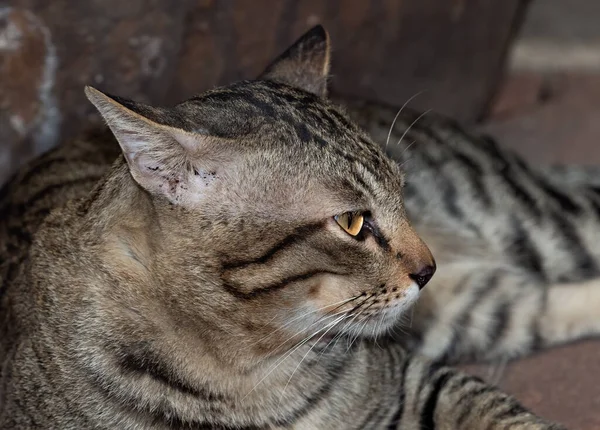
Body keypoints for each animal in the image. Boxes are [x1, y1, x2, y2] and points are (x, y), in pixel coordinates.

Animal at [1, 24, 584, 430]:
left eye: (402, 192)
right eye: (352, 222)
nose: (428, 270)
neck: (246, 372)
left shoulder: (415, 378)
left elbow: (503, 412)